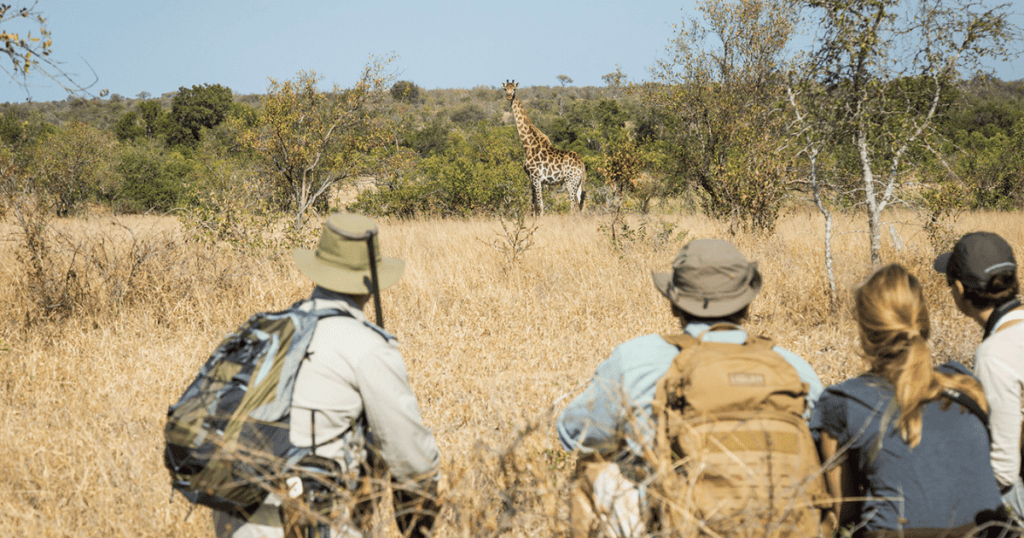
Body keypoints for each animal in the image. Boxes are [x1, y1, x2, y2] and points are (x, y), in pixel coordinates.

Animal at [502, 79, 586, 216]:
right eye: (505, 89)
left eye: (514, 89)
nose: (509, 97)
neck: (528, 145)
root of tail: (582, 165)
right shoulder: (531, 179)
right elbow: (534, 205)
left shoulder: (536, 178)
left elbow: (540, 205)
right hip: (578, 183)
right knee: (580, 205)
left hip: (570, 181)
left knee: (573, 205)